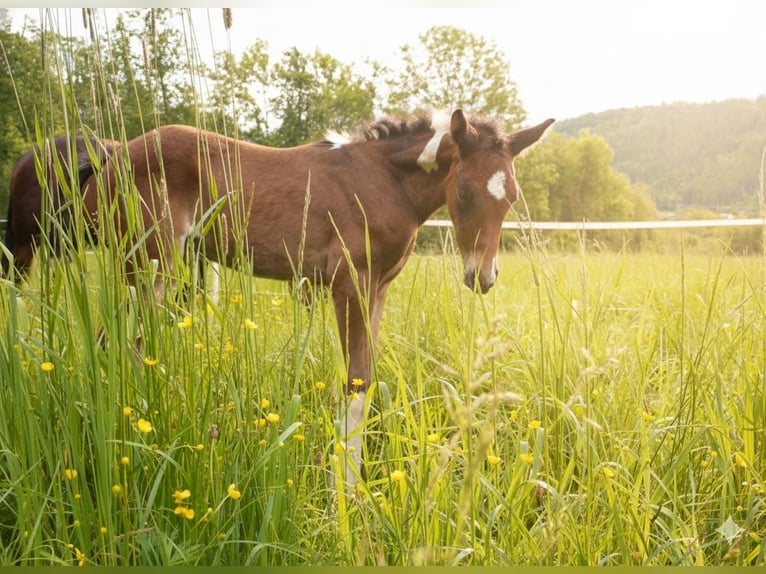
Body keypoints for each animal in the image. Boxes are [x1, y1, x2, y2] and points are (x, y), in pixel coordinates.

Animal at [86, 109, 554, 485]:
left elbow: (367, 382)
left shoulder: (379, 288)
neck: (387, 182)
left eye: (512, 197)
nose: (483, 276)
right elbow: (354, 385)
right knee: (115, 343)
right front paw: (341, 497)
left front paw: (357, 492)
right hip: (147, 266)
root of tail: (113, 157)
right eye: (463, 191)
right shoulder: (351, 282)